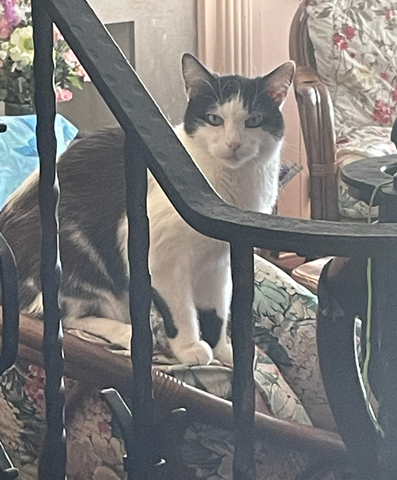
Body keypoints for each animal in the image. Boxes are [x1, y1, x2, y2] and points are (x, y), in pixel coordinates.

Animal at [0, 53, 294, 364]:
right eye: (214, 119)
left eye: (254, 121)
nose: (234, 144)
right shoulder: (159, 256)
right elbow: (181, 308)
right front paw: (190, 347)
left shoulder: (217, 263)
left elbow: (215, 309)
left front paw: (222, 350)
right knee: (64, 317)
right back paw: (126, 332)